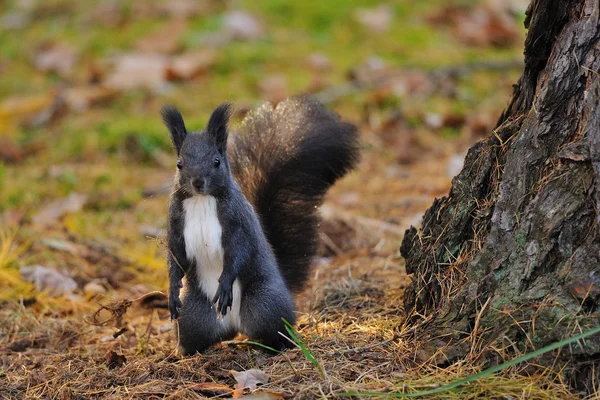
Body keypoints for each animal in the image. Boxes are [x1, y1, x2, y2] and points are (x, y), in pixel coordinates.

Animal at [161, 98, 360, 354]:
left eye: (216, 161)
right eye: (179, 164)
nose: (197, 182)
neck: (202, 200)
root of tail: (235, 325)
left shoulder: (238, 223)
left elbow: (239, 252)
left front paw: (224, 285)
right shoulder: (176, 224)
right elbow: (176, 257)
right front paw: (172, 291)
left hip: (263, 304)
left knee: (278, 328)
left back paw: (280, 345)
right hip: (193, 316)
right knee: (194, 335)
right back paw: (183, 352)